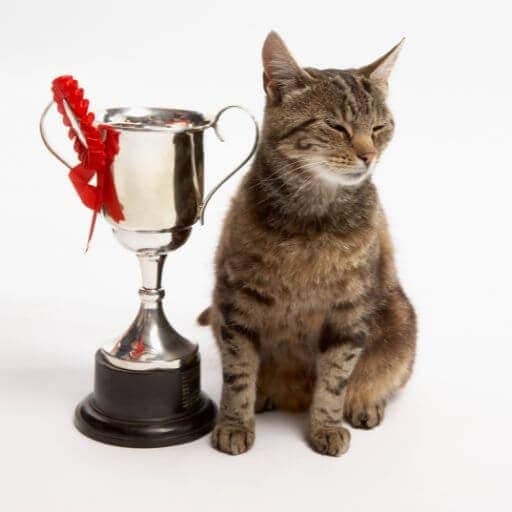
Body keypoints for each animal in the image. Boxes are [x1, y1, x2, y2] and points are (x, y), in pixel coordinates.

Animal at [198, 32, 418, 456]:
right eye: (336, 126)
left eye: (379, 127)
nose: (368, 155)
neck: (312, 219)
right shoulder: (236, 301)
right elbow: (238, 372)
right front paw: (235, 422)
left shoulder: (350, 311)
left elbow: (335, 378)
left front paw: (327, 425)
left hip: (401, 322)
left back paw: (366, 401)